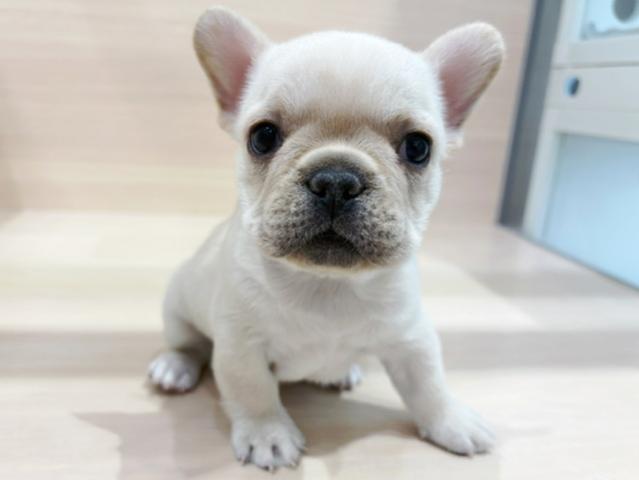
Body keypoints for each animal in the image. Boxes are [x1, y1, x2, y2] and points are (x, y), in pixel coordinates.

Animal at [148, 6, 504, 471]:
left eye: (418, 148)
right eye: (262, 137)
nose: (336, 179)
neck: (328, 284)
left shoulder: (412, 339)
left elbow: (429, 384)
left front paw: (451, 420)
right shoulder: (240, 345)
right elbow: (253, 391)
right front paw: (268, 435)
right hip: (177, 305)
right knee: (187, 343)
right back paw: (174, 368)